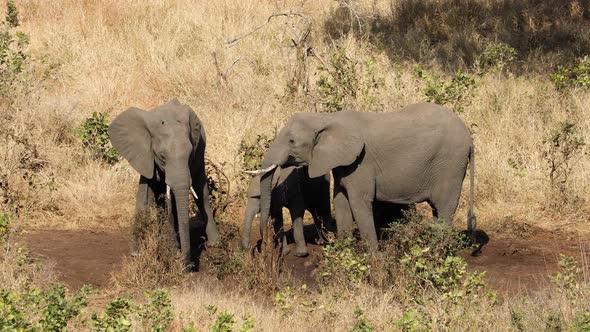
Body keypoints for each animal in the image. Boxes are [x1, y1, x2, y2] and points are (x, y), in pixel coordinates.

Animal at [108, 99, 220, 268]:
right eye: (162, 156)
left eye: (189, 154)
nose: (188, 266)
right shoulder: (144, 155)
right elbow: (148, 195)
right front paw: (139, 253)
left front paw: (173, 250)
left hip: (202, 144)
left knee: (201, 191)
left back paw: (215, 243)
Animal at [254, 103, 476, 249]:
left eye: (292, 141)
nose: (265, 243)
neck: (326, 118)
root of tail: (470, 138)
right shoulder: (343, 164)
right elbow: (341, 203)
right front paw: (344, 257)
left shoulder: (361, 164)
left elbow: (359, 203)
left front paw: (374, 262)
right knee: (438, 211)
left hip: (450, 164)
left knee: (444, 208)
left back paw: (434, 254)